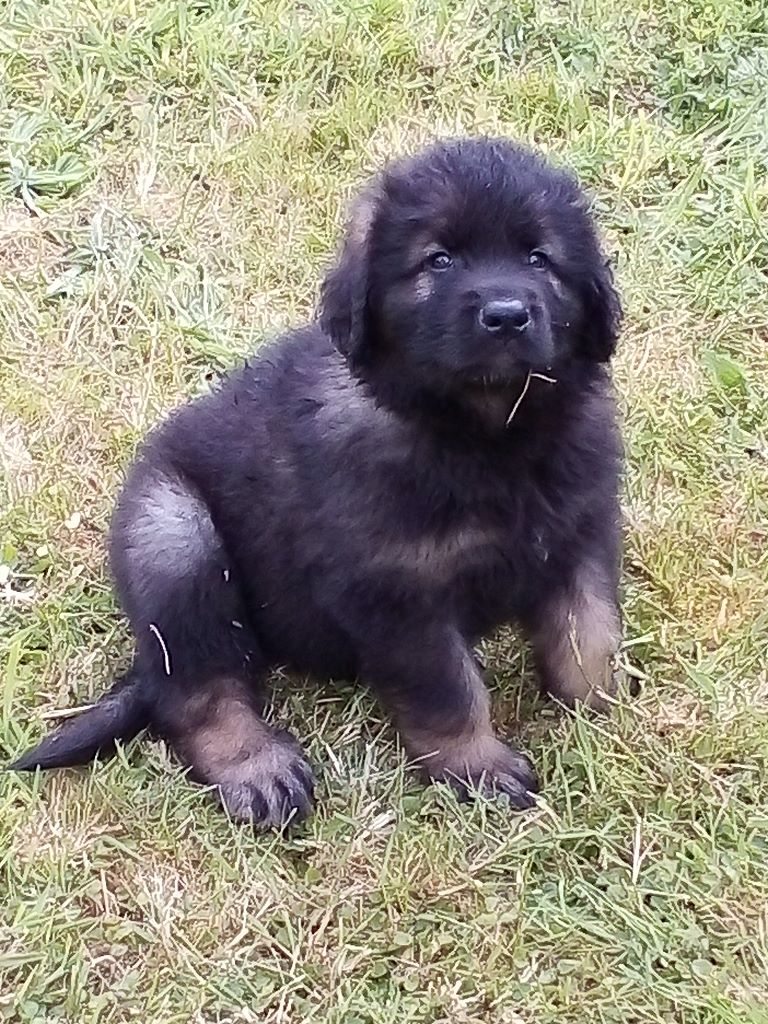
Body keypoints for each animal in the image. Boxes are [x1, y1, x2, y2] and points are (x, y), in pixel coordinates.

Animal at [11, 137, 624, 828]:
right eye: (438, 260)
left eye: (540, 259)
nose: (507, 315)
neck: (488, 436)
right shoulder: (396, 593)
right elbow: (448, 690)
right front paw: (477, 768)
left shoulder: (581, 532)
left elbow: (590, 634)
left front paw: (604, 715)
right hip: (171, 534)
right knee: (196, 687)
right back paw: (257, 768)